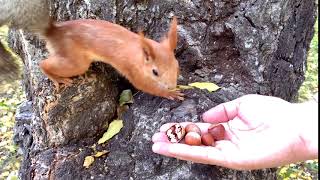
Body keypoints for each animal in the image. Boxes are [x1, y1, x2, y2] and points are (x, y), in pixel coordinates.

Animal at [41, 17, 184, 100]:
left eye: (177, 66)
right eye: (155, 72)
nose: (172, 86)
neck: (138, 55)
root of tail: (54, 33)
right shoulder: (132, 70)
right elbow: (143, 85)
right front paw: (169, 93)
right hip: (77, 62)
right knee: (43, 63)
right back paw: (57, 78)